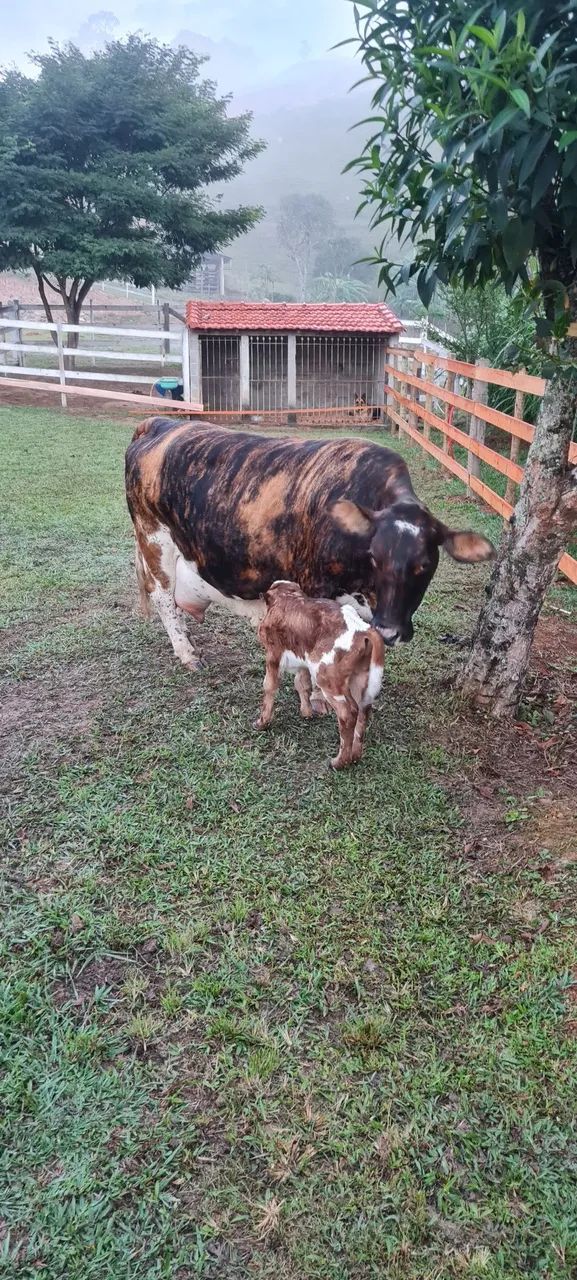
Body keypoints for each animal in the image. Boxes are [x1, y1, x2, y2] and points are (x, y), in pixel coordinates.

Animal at [125, 417, 495, 683]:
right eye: (375, 557)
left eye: (424, 564)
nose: (390, 629)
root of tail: (162, 423)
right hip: (154, 540)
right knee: (163, 599)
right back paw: (187, 653)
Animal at [255, 581, 385, 769]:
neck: (289, 599)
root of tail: (363, 631)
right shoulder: (303, 658)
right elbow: (301, 683)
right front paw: (306, 712)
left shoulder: (273, 654)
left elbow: (269, 685)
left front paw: (262, 722)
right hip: (361, 678)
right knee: (363, 710)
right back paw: (355, 756)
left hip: (327, 678)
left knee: (348, 713)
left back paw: (339, 762)